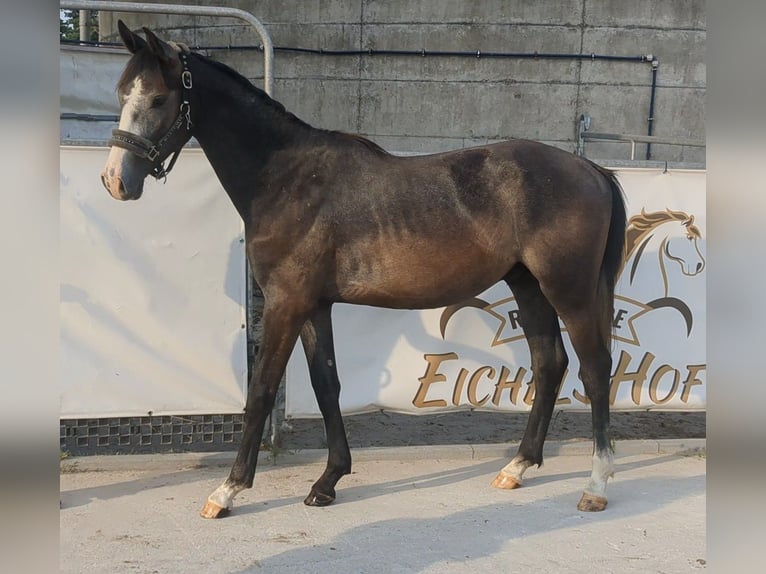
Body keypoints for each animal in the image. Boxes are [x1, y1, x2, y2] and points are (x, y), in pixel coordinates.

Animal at [102, 22, 628, 520]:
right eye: (122, 94)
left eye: (158, 98)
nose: (115, 181)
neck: (286, 179)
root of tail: (592, 170)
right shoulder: (314, 306)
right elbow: (326, 384)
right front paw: (328, 482)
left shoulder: (285, 303)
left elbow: (263, 390)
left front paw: (228, 491)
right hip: (528, 284)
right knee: (549, 362)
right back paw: (516, 467)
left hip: (569, 289)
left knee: (595, 368)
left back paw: (596, 485)